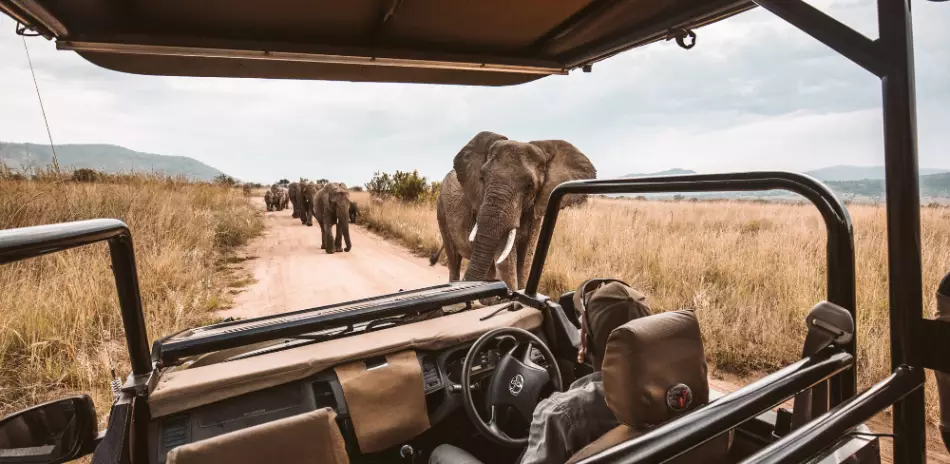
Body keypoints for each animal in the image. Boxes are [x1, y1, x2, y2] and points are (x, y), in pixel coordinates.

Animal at [436, 130, 600, 290]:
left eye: (529, 186)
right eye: (483, 178)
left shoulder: (536, 210)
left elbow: (526, 259)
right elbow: (507, 262)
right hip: (441, 210)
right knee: (454, 260)